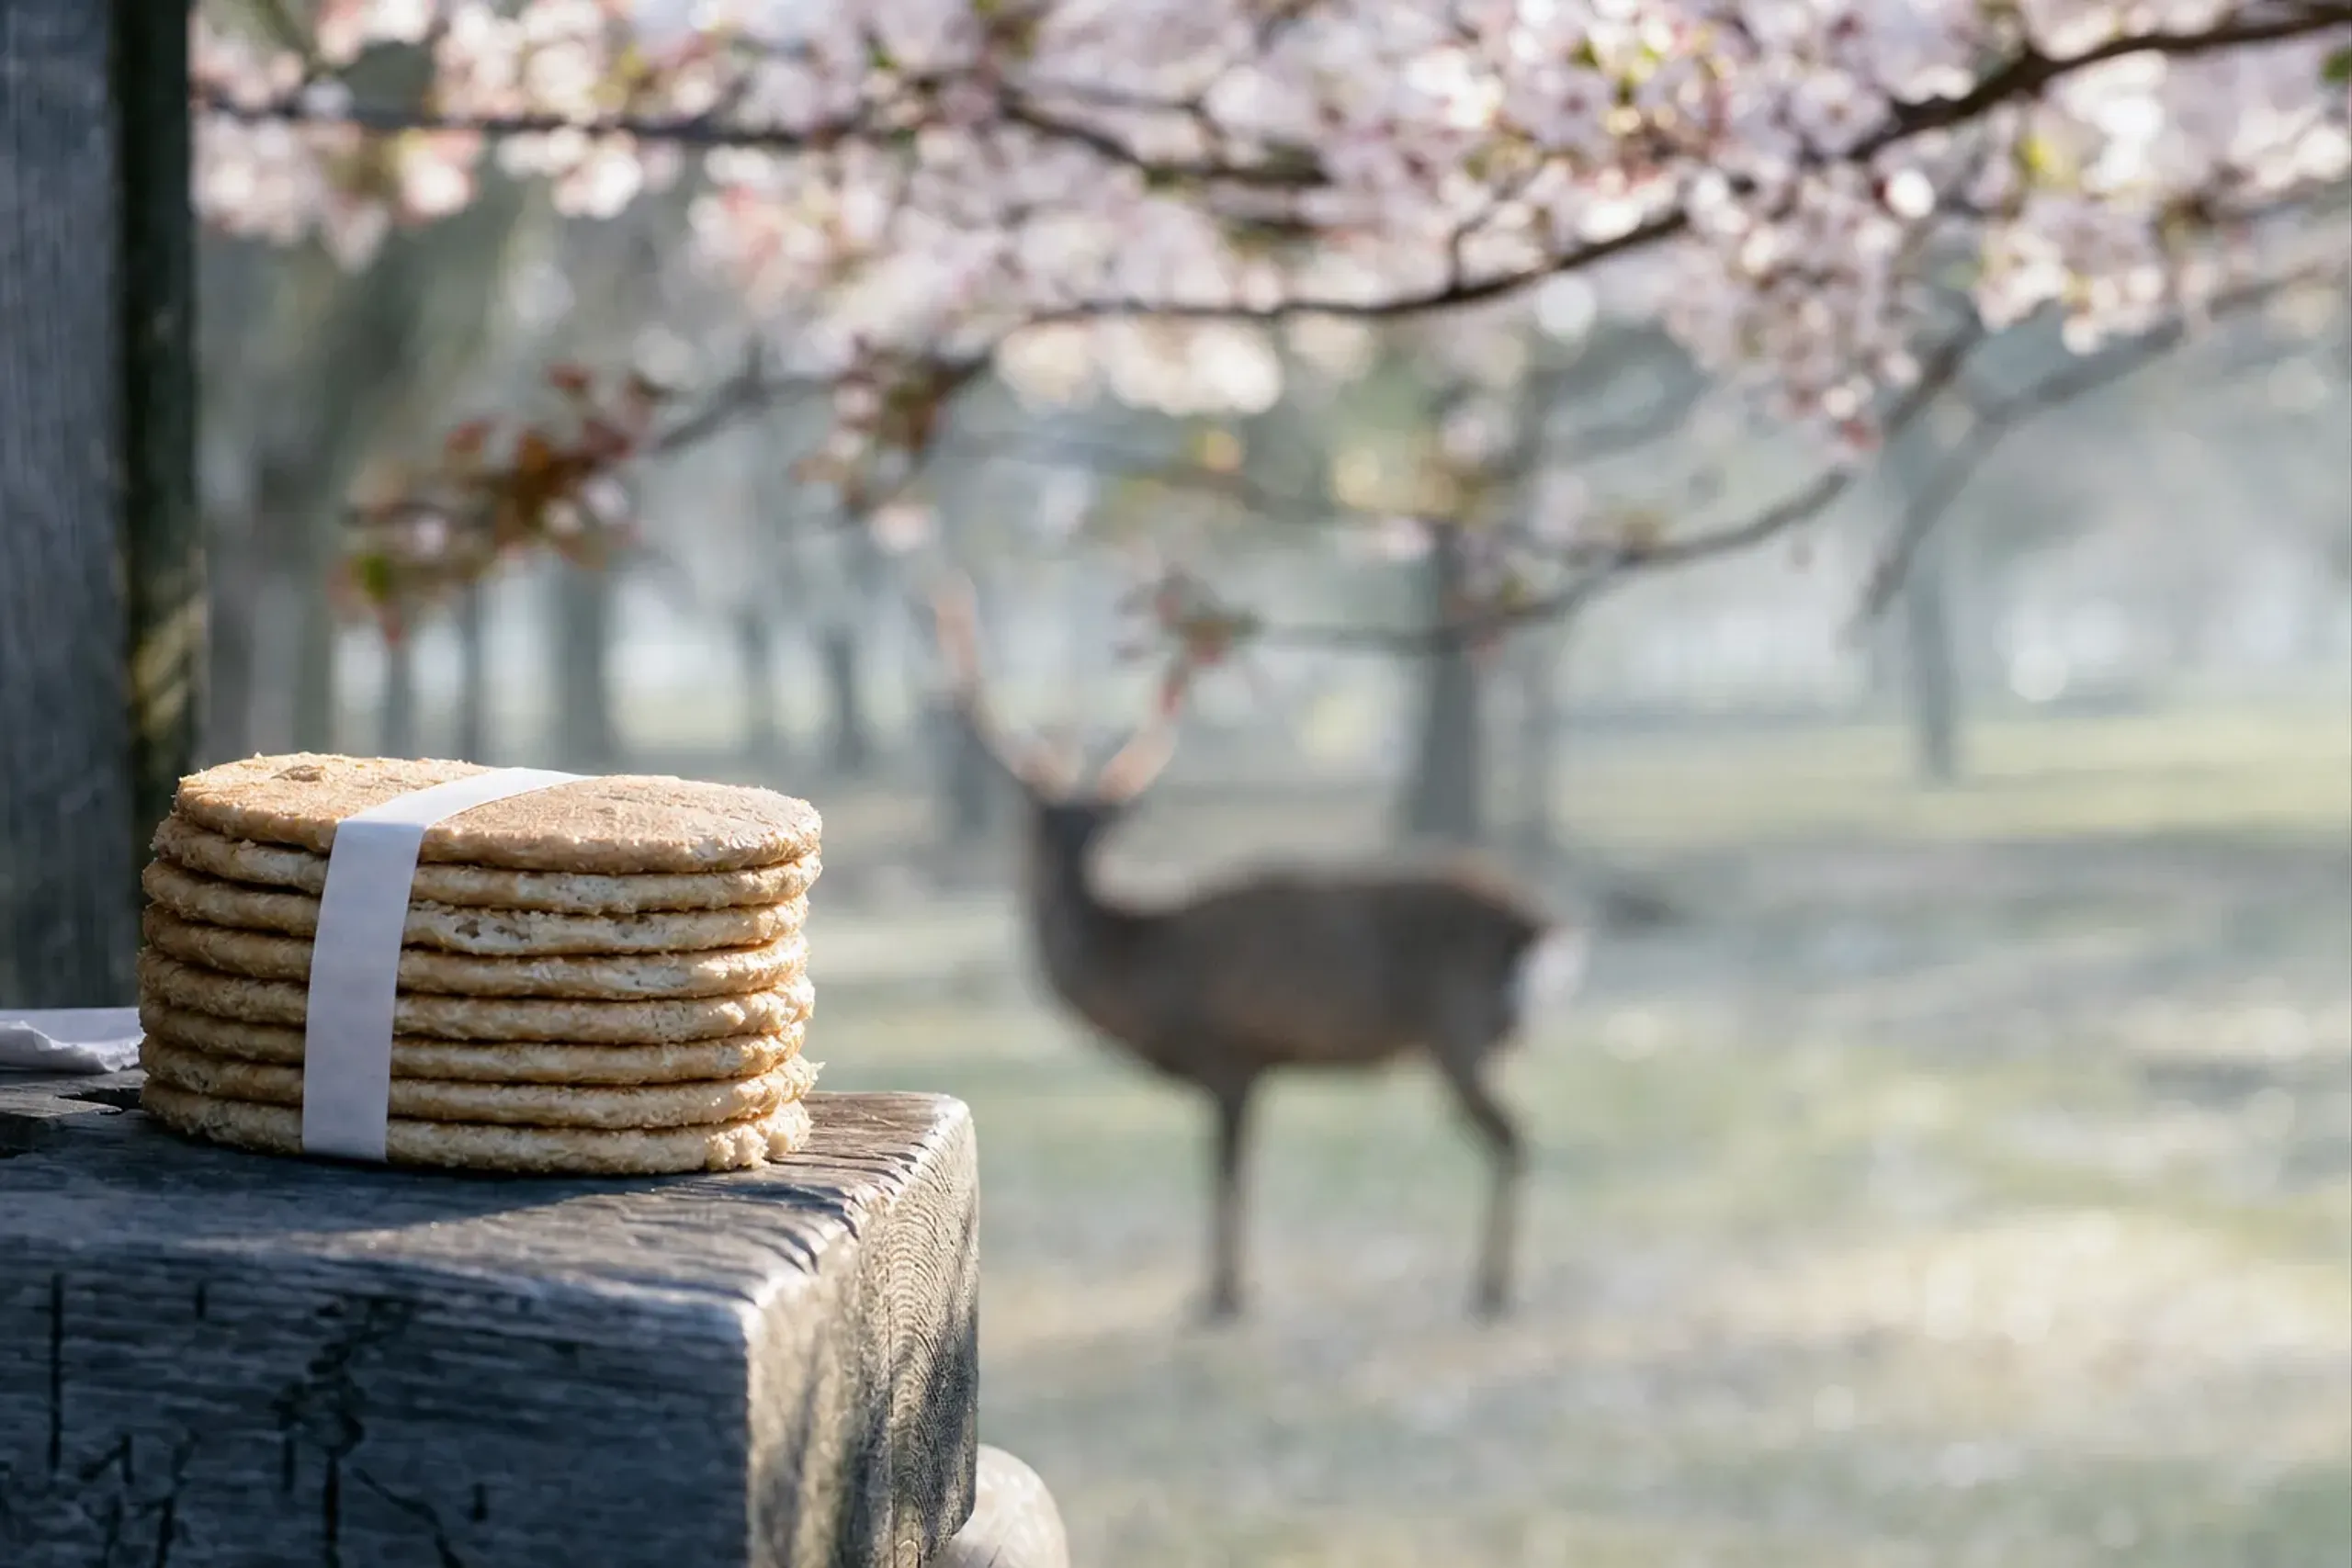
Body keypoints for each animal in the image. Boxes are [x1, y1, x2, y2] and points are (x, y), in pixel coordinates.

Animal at [926, 574, 1589, 1323]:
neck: (1141, 970)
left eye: (1097, 825)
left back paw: (1492, 1286)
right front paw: (1232, 1290)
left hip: (1459, 1029)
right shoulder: (1257, 1068)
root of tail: (1540, 927)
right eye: (1049, 821)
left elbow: (1225, 1177)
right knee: (1516, 1138)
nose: (1069, 866)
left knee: (1514, 1139)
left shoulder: (1229, 1055)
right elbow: (1242, 1174)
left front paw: (1221, 1295)